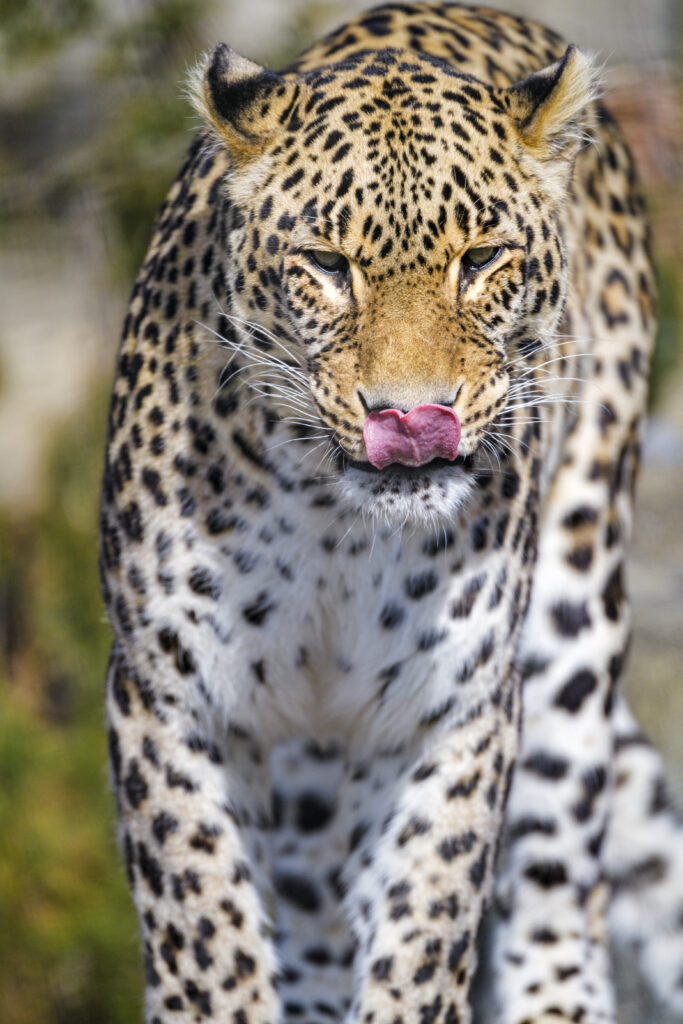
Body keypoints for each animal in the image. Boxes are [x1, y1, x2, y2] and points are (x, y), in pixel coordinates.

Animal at [99, 4, 683, 1023]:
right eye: (327, 267)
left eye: (481, 260)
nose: (411, 417)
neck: (334, 520)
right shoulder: (167, 699)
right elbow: (204, 935)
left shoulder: (451, 712)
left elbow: (427, 923)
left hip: (572, 625)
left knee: (558, 898)